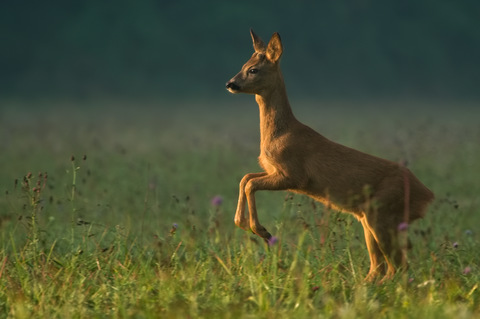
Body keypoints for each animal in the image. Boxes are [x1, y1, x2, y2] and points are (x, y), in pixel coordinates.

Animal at [226, 28, 436, 282]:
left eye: (253, 69)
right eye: (243, 64)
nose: (230, 84)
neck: (280, 133)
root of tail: (427, 196)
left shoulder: (294, 175)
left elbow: (250, 183)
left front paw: (261, 231)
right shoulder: (273, 170)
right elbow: (245, 178)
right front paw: (243, 224)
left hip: (383, 212)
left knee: (397, 267)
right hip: (371, 218)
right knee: (382, 266)